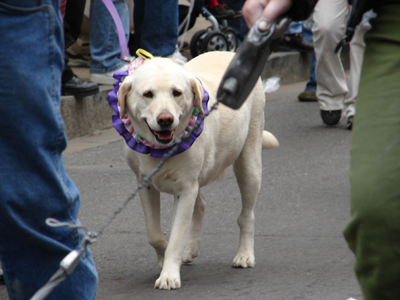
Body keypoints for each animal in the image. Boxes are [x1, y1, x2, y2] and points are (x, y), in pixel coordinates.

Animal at [117, 51, 276, 290]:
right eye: (147, 94)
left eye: (176, 93)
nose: (166, 119)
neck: (160, 149)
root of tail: (230, 52)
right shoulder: (145, 184)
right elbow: (155, 235)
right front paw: (164, 257)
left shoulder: (185, 189)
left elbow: (176, 235)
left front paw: (169, 274)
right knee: (201, 204)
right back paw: (191, 249)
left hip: (249, 164)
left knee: (246, 215)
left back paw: (245, 254)